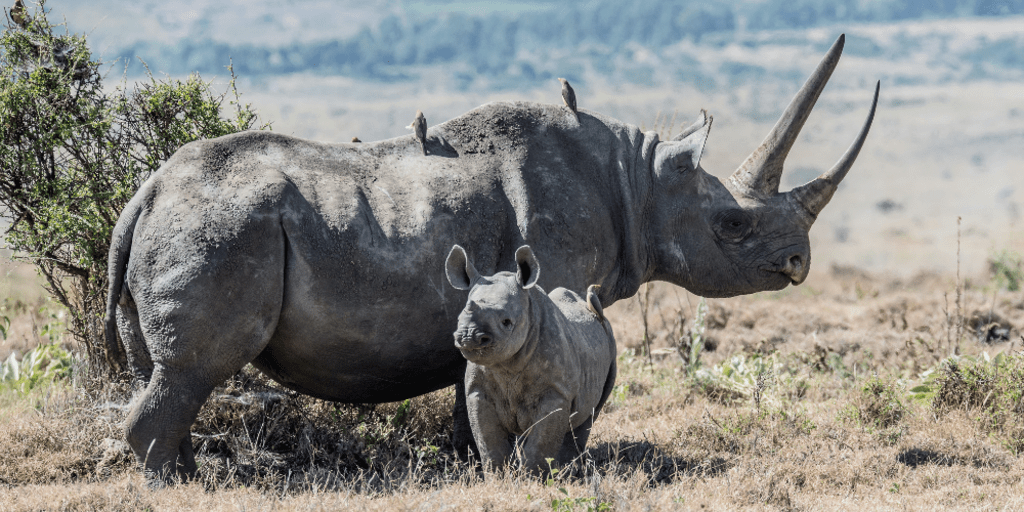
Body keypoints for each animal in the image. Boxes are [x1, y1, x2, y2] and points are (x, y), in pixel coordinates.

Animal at [446, 245, 616, 472]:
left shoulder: (557, 393)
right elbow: (489, 442)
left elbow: (539, 446)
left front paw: (533, 477)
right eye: (458, 319)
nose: (468, 337)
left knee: (588, 416)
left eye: (506, 322)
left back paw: (568, 471)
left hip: (610, 344)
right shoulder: (478, 391)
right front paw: (498, 476)